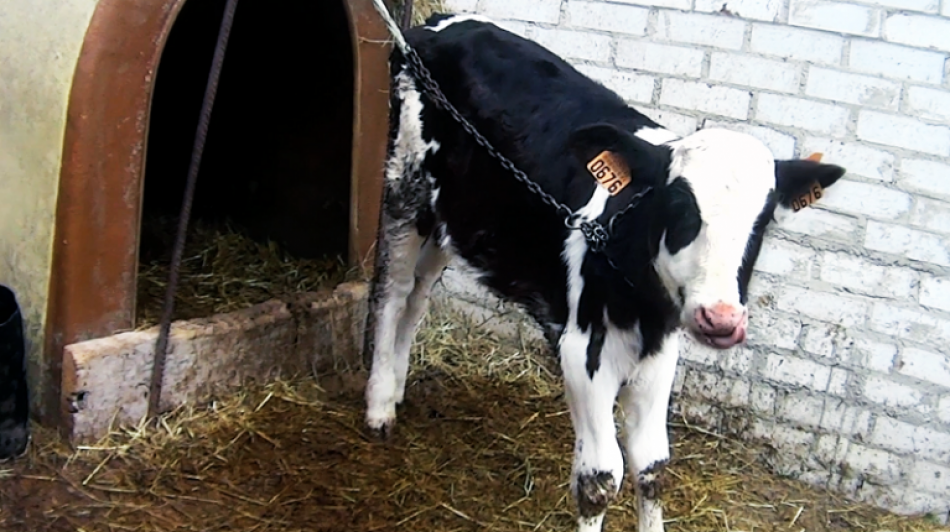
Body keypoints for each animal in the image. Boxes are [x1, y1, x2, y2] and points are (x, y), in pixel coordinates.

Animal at [366, 13, 848, 532]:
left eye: (762, 222)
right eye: (679, 207)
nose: (720, 320)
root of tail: (436, 24)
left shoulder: (659, 353)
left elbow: (653, 466)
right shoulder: (583, 351)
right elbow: (600, 477)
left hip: (452, 217)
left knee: (418, 296)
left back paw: (397, 387)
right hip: (406, 187)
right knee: (392, 291)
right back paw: (378, 405)